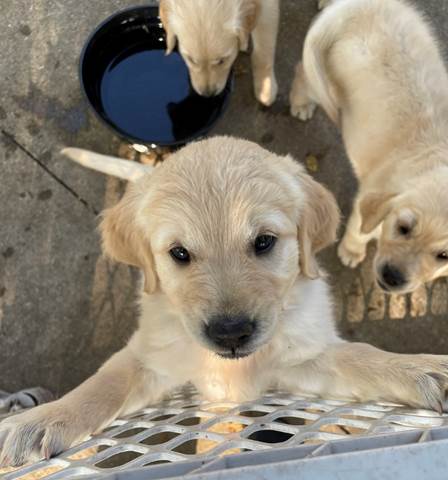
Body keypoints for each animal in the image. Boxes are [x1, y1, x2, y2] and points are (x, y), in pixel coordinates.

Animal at [0, 137, 448, 466]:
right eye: (179, 253)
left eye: (264, 242)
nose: (230, 333)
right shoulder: (150, 356)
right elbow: (104, 384)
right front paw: (42, 419)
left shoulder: (302, 359)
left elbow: (360, 356)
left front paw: (418, 367)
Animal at [288, 0, 448, 292]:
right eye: (403, 228)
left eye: (443, 255)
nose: (392, 277)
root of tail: (358, 8)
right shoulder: (369, 202)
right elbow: (358, 231)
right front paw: (351, 252)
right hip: (327, 80)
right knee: (302, 73)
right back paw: (301, 103)